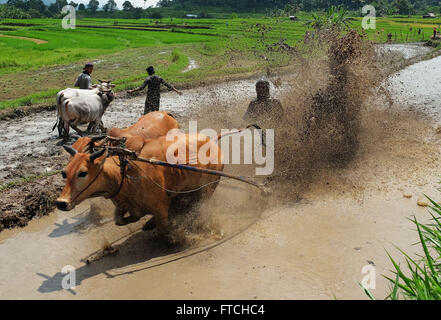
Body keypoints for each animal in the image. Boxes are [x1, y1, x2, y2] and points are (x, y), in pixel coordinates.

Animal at [55, 132, 223, 235]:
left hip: (209, 187)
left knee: (200, 204)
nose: (61, 203)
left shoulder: (161, 208)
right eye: (65, 172)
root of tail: (212, 140)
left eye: (82, 173)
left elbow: (164, 231)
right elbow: (119, 220)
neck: (124, 174)